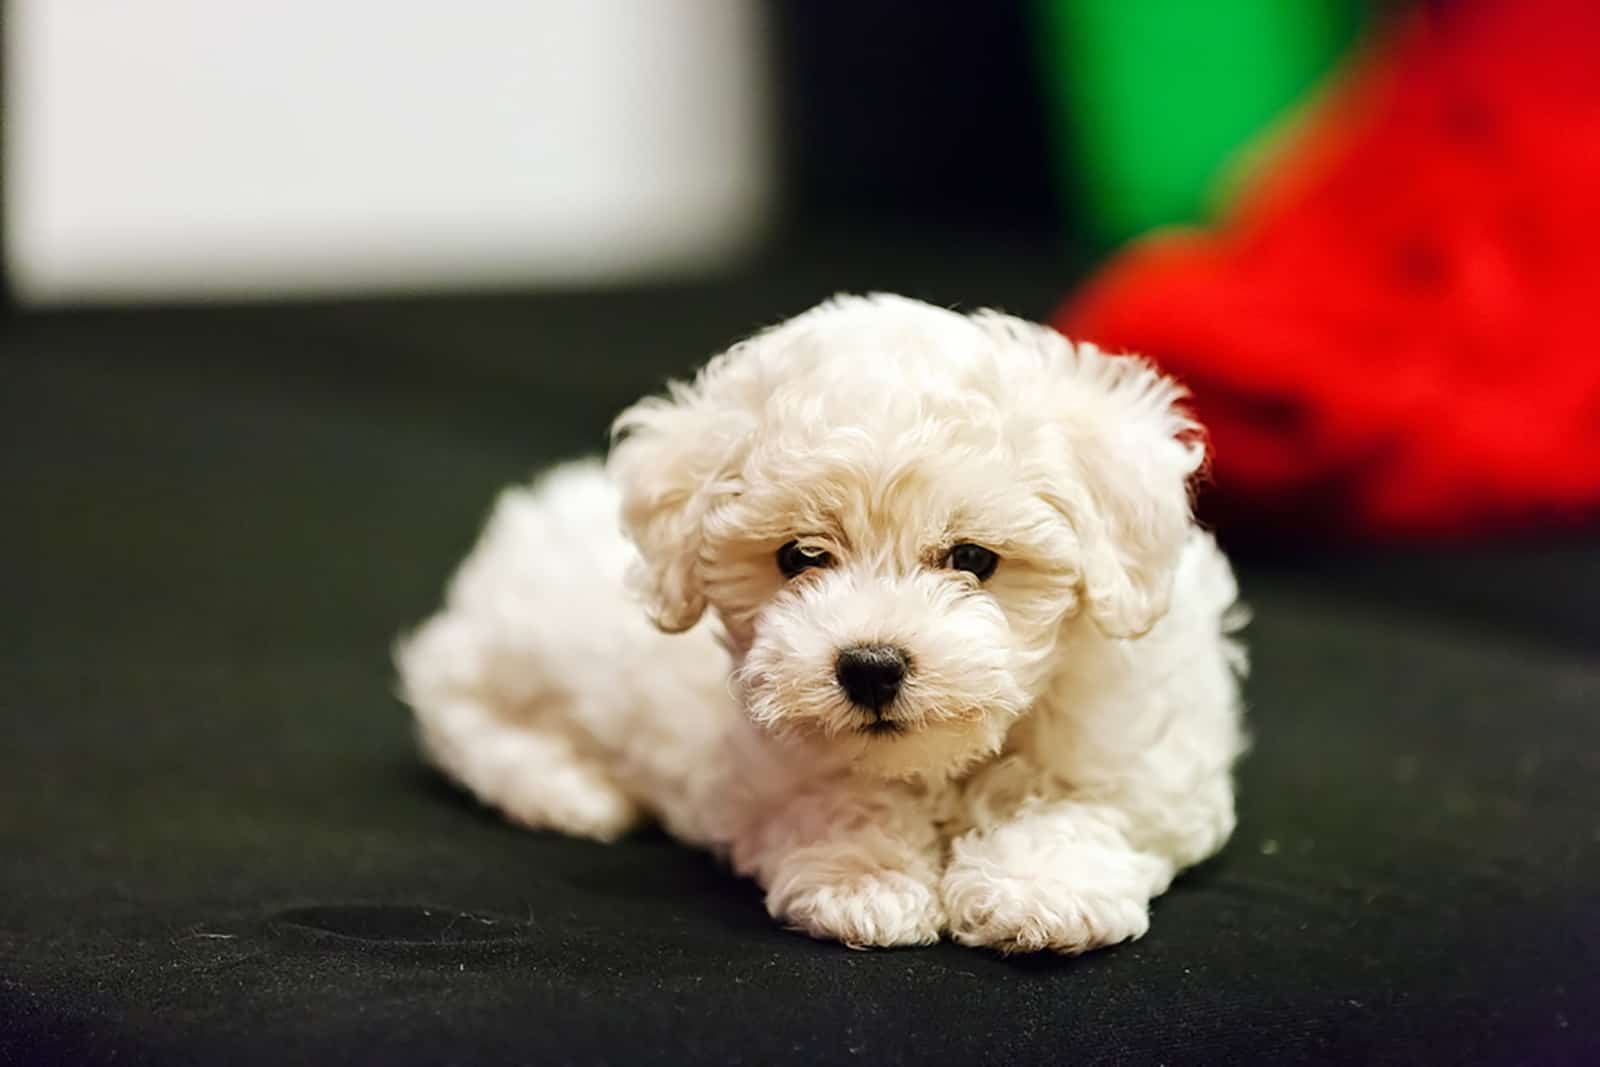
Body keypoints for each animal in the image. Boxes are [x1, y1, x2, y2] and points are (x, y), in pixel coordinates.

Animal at [400, 295, 1248, 953]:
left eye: (974, 557)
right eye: (800, 556)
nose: (870, 665)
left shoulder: (1149, 757)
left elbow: (1082, 804)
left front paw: (1039, 885)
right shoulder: (762, 757)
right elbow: (835, 794)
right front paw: (865, 880)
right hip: (502, 659)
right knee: (456, 713)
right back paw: (570, 790)